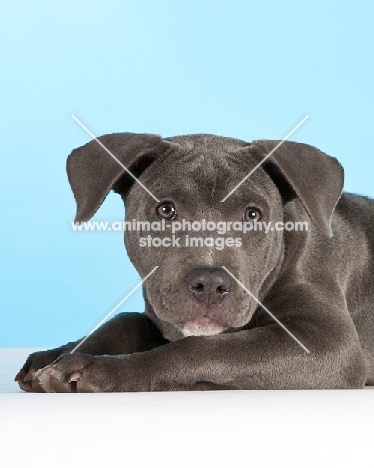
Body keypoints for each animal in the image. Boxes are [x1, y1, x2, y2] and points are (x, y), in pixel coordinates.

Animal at [16, 133, 374, 392]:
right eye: (166, 210)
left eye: (253, 214)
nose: (211, 284)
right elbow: (126, 320)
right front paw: (59, 354)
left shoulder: (329, 342)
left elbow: (203, 348)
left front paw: (99, 369)